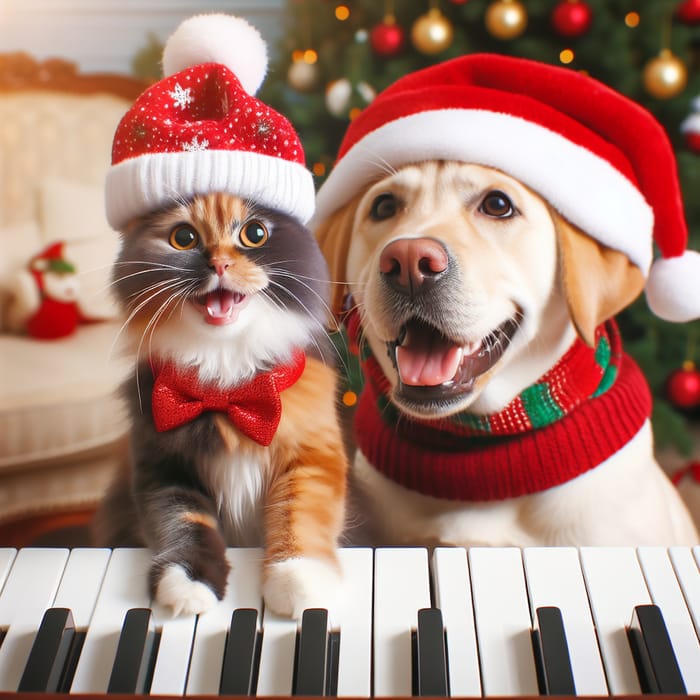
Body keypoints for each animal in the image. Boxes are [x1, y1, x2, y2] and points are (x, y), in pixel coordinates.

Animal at [93, 191, 350, 616]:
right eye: (183, 237)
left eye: (255, 234)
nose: (219, 263)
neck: (225, 379)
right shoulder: (164, 467)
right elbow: (185, 524)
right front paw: (187, 583)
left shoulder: (311, 456)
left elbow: (299, 512)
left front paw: (298, 579)